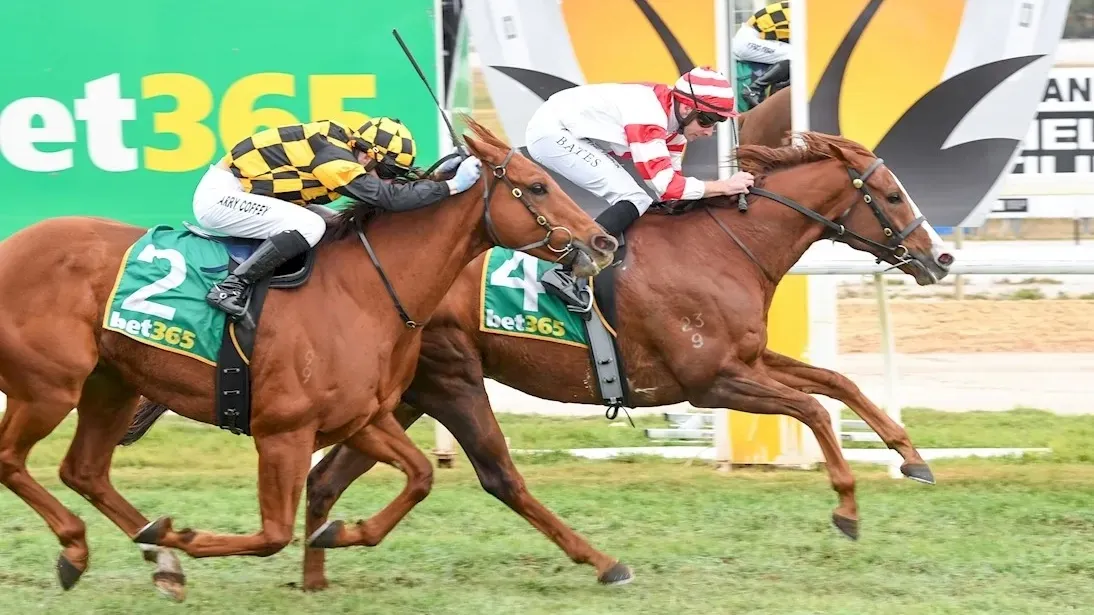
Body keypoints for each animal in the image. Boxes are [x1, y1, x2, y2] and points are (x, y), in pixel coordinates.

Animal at [0, 116, 617, 598]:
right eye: (538, 186)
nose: (603, 242)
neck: (364, 291)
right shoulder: (283, 431)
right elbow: (274, 533)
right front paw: (186, 536)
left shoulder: (362, 417)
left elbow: (419, 476)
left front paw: (340, 533)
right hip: (48, 387)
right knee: (12, 460)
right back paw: (91, 548)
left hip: (111, 383)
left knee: (83, 470)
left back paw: (157, 559)